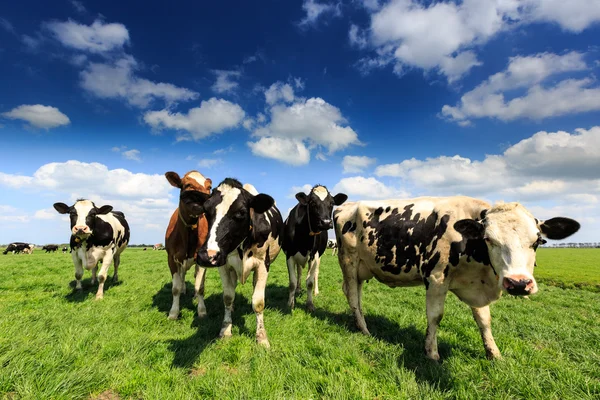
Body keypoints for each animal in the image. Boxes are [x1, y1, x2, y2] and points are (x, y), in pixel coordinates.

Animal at [163, 170, 212, 320]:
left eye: (209, 187)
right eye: (188, 185)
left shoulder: (202, 259)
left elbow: (200, 286)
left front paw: (201, 310)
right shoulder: (171, 258)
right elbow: (175, 288)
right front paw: (173, 312)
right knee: (182, 275)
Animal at [196, 178, 282, 346]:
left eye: (241, 212)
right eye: (206, 210)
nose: (206, 256)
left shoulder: (263, 264)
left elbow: (258, 302)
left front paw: (261, 337)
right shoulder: (223, 264)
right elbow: (228, 296)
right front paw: (225, 330)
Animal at [336, 196, 580, 360]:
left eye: (538, 241)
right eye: (488, 239)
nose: (519, 283)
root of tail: (346, 205)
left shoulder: (477, 285)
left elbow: (484, 320)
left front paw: (494, 353)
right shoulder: (436, 279)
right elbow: (435, 316)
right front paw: (432, 353)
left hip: (361, 268)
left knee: (355, 294)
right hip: (349, 261)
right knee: (353, 297)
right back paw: (364, 329)